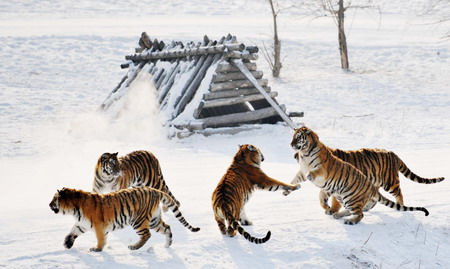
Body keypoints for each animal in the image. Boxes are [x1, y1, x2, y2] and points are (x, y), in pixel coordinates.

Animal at [48, 186, 200, 251]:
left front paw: (97, 249)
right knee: (167, 228)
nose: (49, 205)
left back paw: (134, 246)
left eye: (54, 199)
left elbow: (101, 239)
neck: (74, 209)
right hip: (154, 220)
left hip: (138, 220)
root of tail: (154, 190)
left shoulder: (99, 226)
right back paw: (167, 245)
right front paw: (67, 243)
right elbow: (72, 232)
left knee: (147, 235)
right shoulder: (82, 224)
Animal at [288, 125, 428, 224]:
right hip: (374, 182)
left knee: (398, 193)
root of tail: (392, 153)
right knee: (373, 199)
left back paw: (399, 205)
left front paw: (331, 209)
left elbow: (332, 200)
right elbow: (320, 196)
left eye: (298, 137)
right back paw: (365, 208)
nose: (293, 153)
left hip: (390, 182)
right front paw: (326, 207)